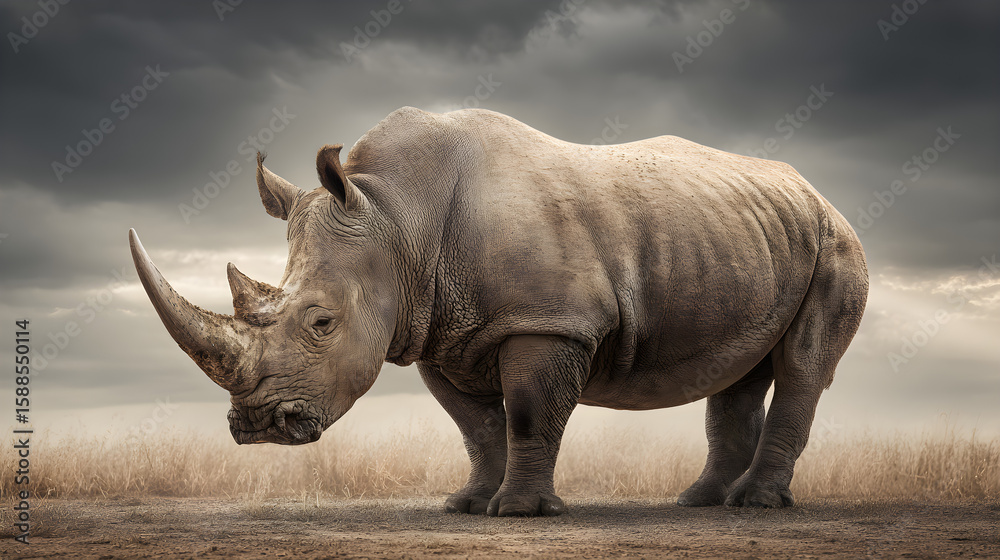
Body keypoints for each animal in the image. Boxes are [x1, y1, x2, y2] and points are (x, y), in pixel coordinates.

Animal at [129, 107, 868, 516]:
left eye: (321, 323)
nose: (258, 426)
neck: (396, 218)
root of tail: (816, 191)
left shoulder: (548, 321)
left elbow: (529, 414)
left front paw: (520, 514)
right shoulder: (435, 328)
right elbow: (477, 427)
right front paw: (465, 506)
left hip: (835, 243)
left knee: (803, 368)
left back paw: (757, 503)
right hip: (753, 236)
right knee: (738, 373)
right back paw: (701, 502)